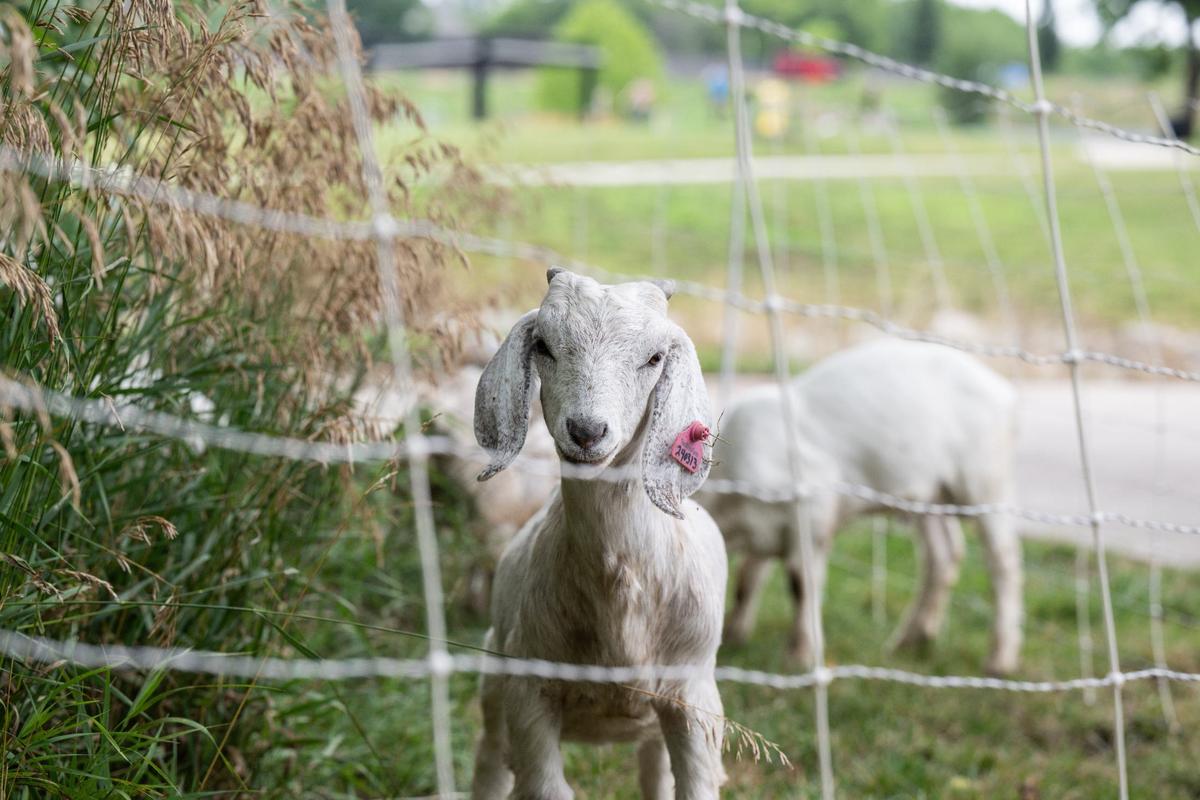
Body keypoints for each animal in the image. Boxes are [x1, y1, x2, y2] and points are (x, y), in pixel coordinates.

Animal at [471, 268, 727, 800]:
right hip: (494, 688)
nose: (587, 431)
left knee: (655, 773)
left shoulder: (694, 701)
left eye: (654, 358)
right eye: (544, 345)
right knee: (490, 764)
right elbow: (544, 787)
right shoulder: (528, 692)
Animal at [702, 338, 1022, 675]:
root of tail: (1005, 392)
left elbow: (801, 584)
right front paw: (735, 635)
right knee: (943, 554)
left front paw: (799, 657)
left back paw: (1000, 661)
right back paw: (909, 640)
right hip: (928, 496)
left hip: (986, 480)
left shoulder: (813, 511)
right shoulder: (766, 533)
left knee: (1003, 561)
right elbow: (747, 578)